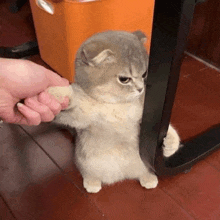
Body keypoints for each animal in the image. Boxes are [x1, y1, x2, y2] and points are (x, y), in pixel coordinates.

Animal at [47, 30, 180, 192]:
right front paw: (57, 91)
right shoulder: (81, 115)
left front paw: (171, 143)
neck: (117, 105)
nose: (141, 88)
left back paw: (148, 177)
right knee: (87, 171)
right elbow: (72, 101)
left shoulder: (144, 116)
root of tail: (122, 174)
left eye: (144, 74)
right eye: (124, 79)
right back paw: (92, 181)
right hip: (87, 162)